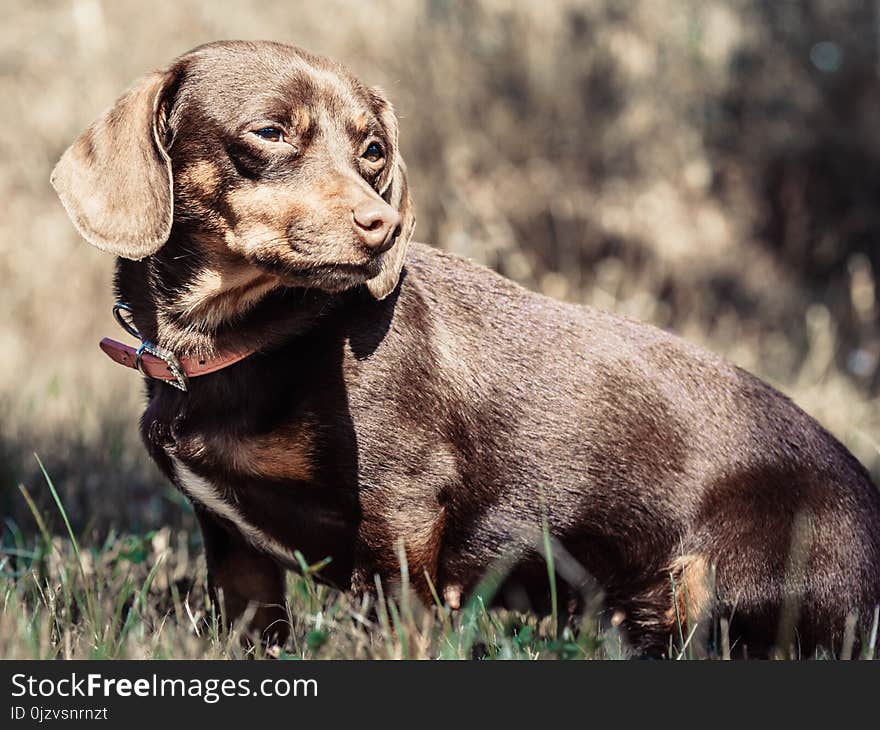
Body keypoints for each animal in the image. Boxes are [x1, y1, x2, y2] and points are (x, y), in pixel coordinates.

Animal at [53, 38, 880, 656]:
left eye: (373, 149)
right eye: (269, 132)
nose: (382, 227)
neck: (254, 337)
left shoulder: (400, 517)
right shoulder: (236, 552)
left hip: (726, 589)